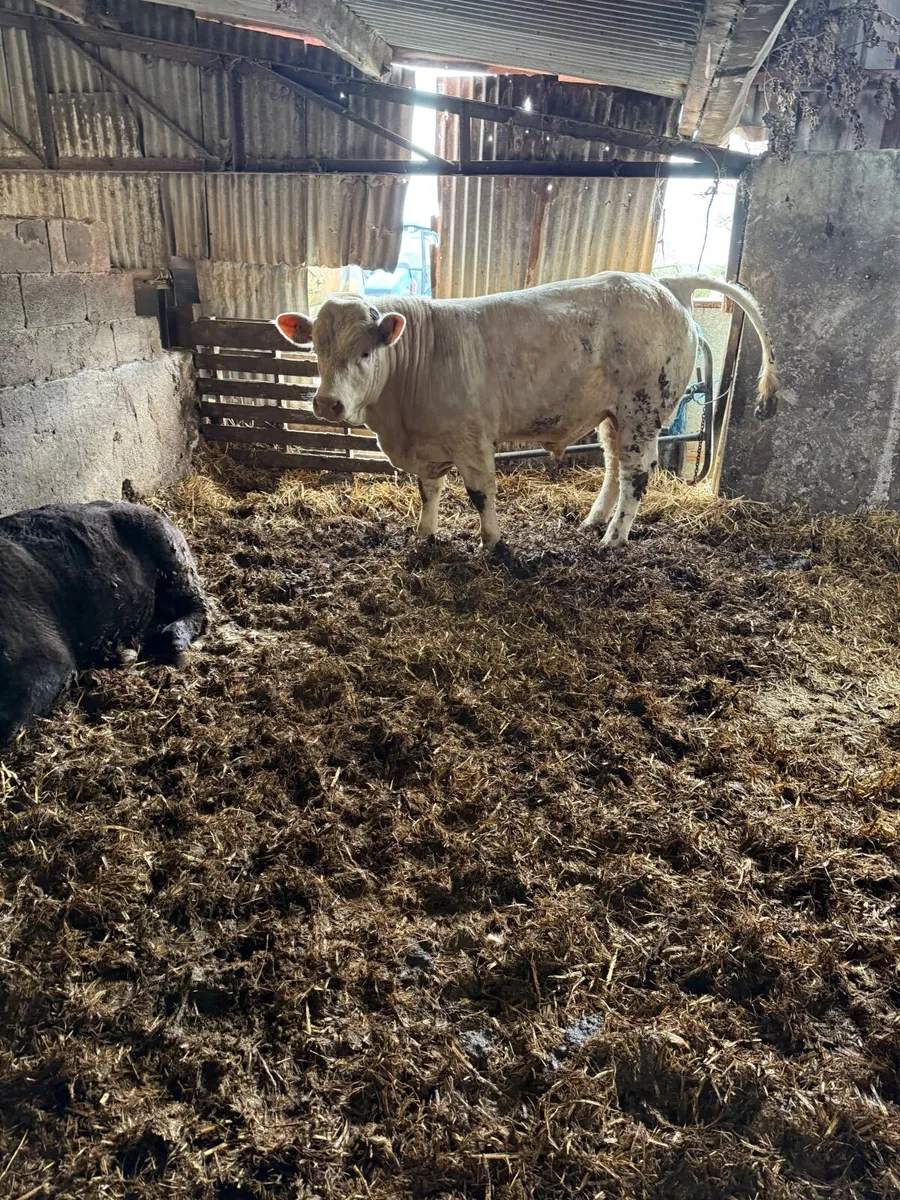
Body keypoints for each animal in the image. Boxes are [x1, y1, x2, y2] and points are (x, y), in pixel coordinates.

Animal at [273, 272, 778, 551]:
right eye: (316, 349)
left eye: (364, 352)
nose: (327, 403)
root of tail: (662, 283)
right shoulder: (429, 445)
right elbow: (428, 491)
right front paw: (424, 535)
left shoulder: (472, 440)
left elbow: (480, 494)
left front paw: (492, 543)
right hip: (613, 416)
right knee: (614, 466)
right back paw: (594, 520)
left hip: (642, 411)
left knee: (637, 474)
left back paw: (613, 539)